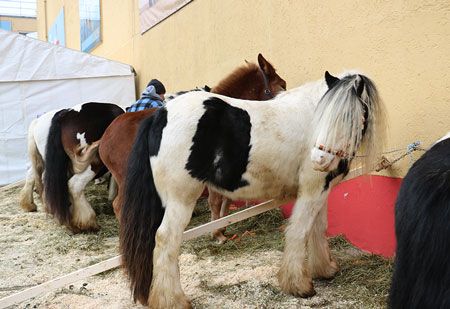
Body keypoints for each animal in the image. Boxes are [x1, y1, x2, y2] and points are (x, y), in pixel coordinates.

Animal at [20, 101, 123, 231]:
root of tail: (62, 117)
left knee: (33, 175)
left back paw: (30, 205)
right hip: (91, 162)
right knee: (74, 185)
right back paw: (87, 222)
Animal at [100, 53, 286, 241]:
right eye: (282, 85)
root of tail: (105, 137)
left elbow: (226, 199)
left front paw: (223, 227)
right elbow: (215, 200)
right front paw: (217, 233)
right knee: (119, 206)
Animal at [119, 70, 386, 306]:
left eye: (350, 117)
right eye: (327, 117)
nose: (319, 159)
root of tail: (161, 114)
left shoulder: (322, 188)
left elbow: (317, 229)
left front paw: (324, 269)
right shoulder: (312, 189)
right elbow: (300, 231)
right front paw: (299, 285)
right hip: (180, 201)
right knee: (166, 240)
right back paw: (173, 300)